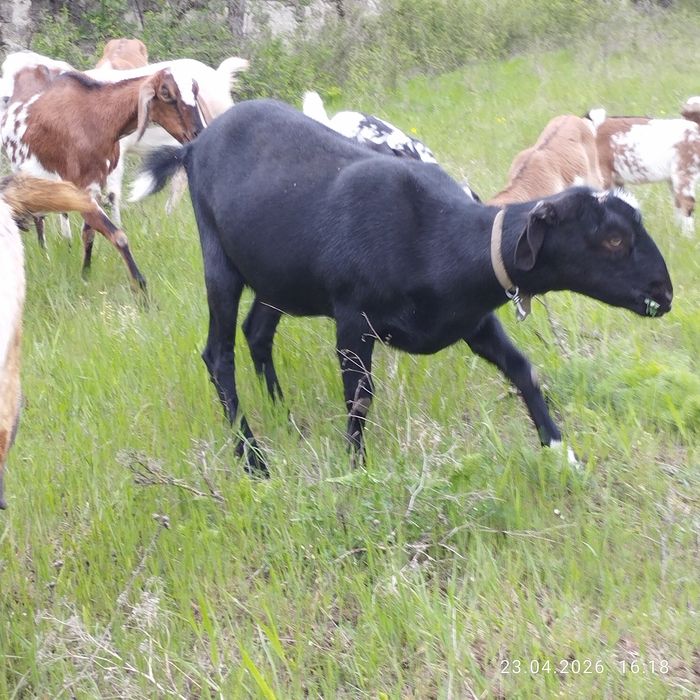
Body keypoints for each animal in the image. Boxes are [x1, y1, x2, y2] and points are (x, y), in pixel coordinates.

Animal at [1, 66, 206, 289]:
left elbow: (89, 234)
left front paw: (85, 275)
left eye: (195, 89)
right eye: (166, 93)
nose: (198, 132)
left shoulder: (95, 187)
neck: (95, 119)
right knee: (39, 219)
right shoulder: (82, 192)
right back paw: (44, 255)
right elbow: (118, 236)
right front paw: (141, 287)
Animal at [130, 99, 673, 475]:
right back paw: (252, 457)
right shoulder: (354, 320)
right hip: (219, 259)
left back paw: (283, 418)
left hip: (279, 276)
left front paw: (562, 452)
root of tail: (193, 146)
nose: (665, 294)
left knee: (257, 332)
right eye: (613, 238)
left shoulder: (472, 321)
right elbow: (360, 396)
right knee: (218, 354)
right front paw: (356, 470)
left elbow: (523, 369)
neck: (440, 236)